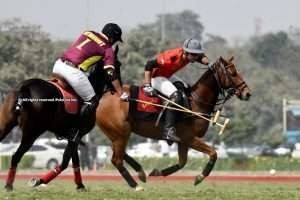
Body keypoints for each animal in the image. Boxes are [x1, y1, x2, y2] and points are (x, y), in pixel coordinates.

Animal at [96, 55, 251, 189]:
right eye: (232, 73)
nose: (247, 93)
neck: (195, 102)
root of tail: (102, 99)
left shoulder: (183, 141)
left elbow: (182, 163)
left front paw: (157, 172)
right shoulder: (188, 138)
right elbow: (213, 153)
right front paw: (199, 177)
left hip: (118, 134)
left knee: (119, 154)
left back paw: (141, 172)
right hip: (120, 133)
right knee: (116, 159)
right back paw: (136, 186)